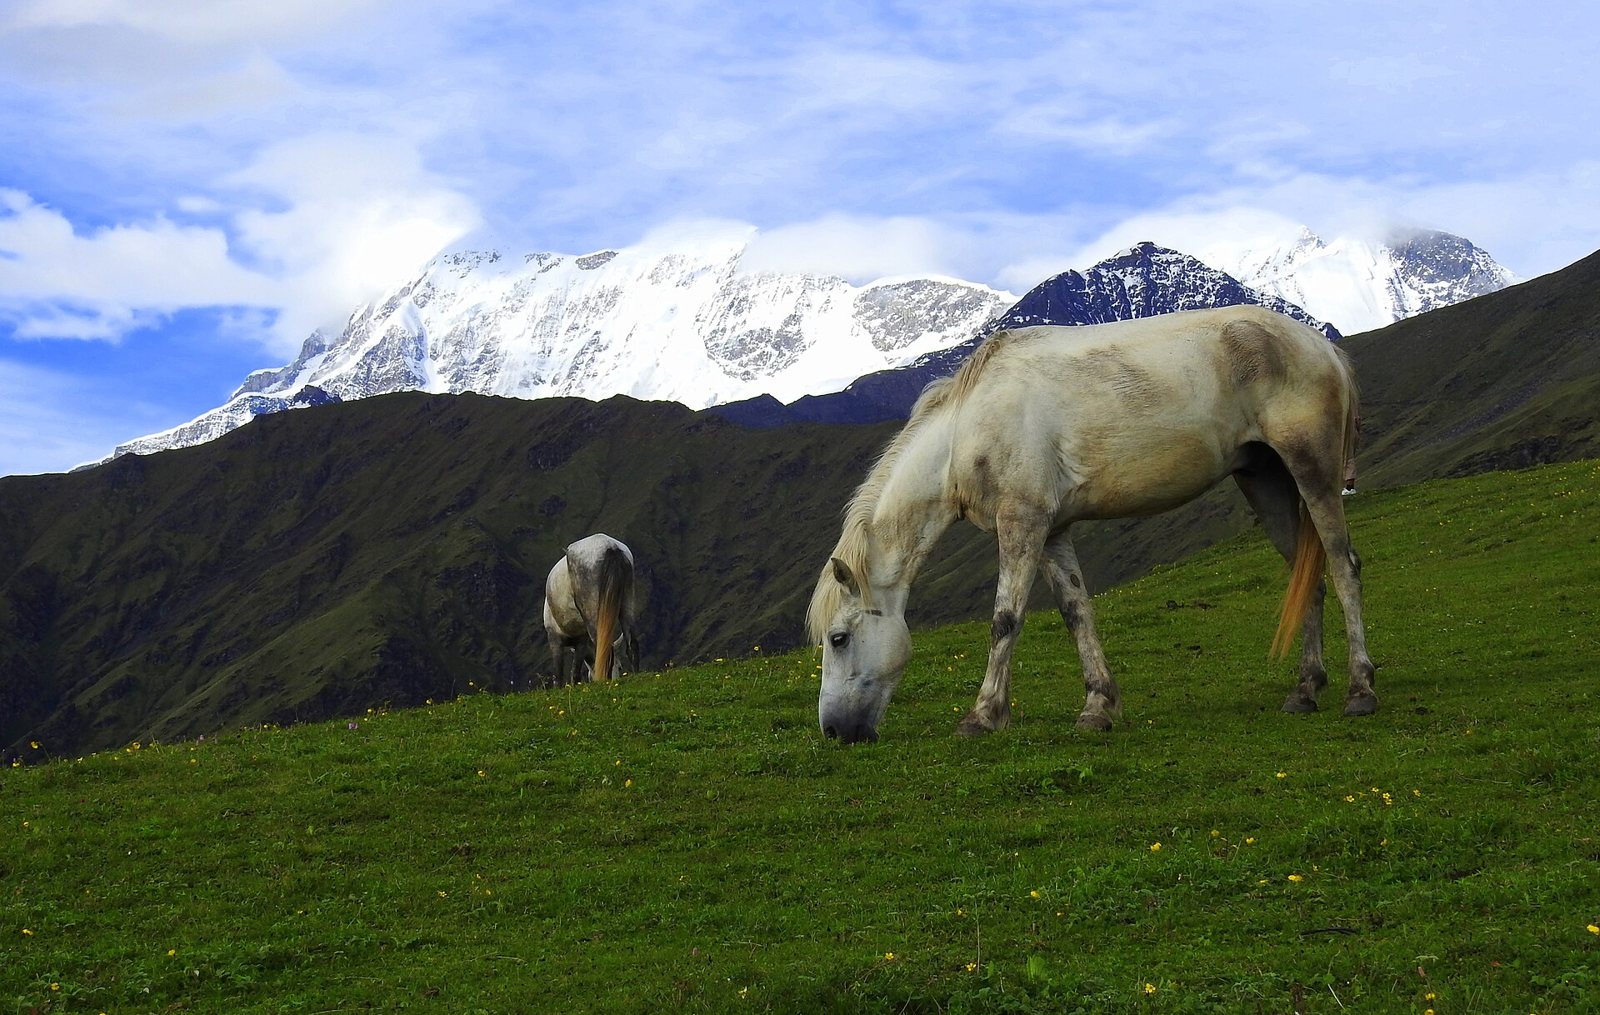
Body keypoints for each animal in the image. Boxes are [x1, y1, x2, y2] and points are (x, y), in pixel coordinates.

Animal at [543, 533, 640, 685]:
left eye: (619, 667)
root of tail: (610, 547)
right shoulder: (581, 641)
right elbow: (575, 673)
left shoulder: (555, 639)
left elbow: (559, 676)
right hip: (627, 600)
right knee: (632, 642)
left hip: (594, 612)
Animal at [807, 305, 1375, 744]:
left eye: (838, 638)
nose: (833, 731)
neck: (965, 432)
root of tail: (1323, 347)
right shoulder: (1052, 531)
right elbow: (1076, 612)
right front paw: (1098, 707)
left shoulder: (1021, 524)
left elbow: (1005, 619)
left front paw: (983, 716)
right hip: (1266, 482)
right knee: (1308, 576)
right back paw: (1305, 689)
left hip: (1313, 473)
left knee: (1344, 566)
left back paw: (1360, 690)